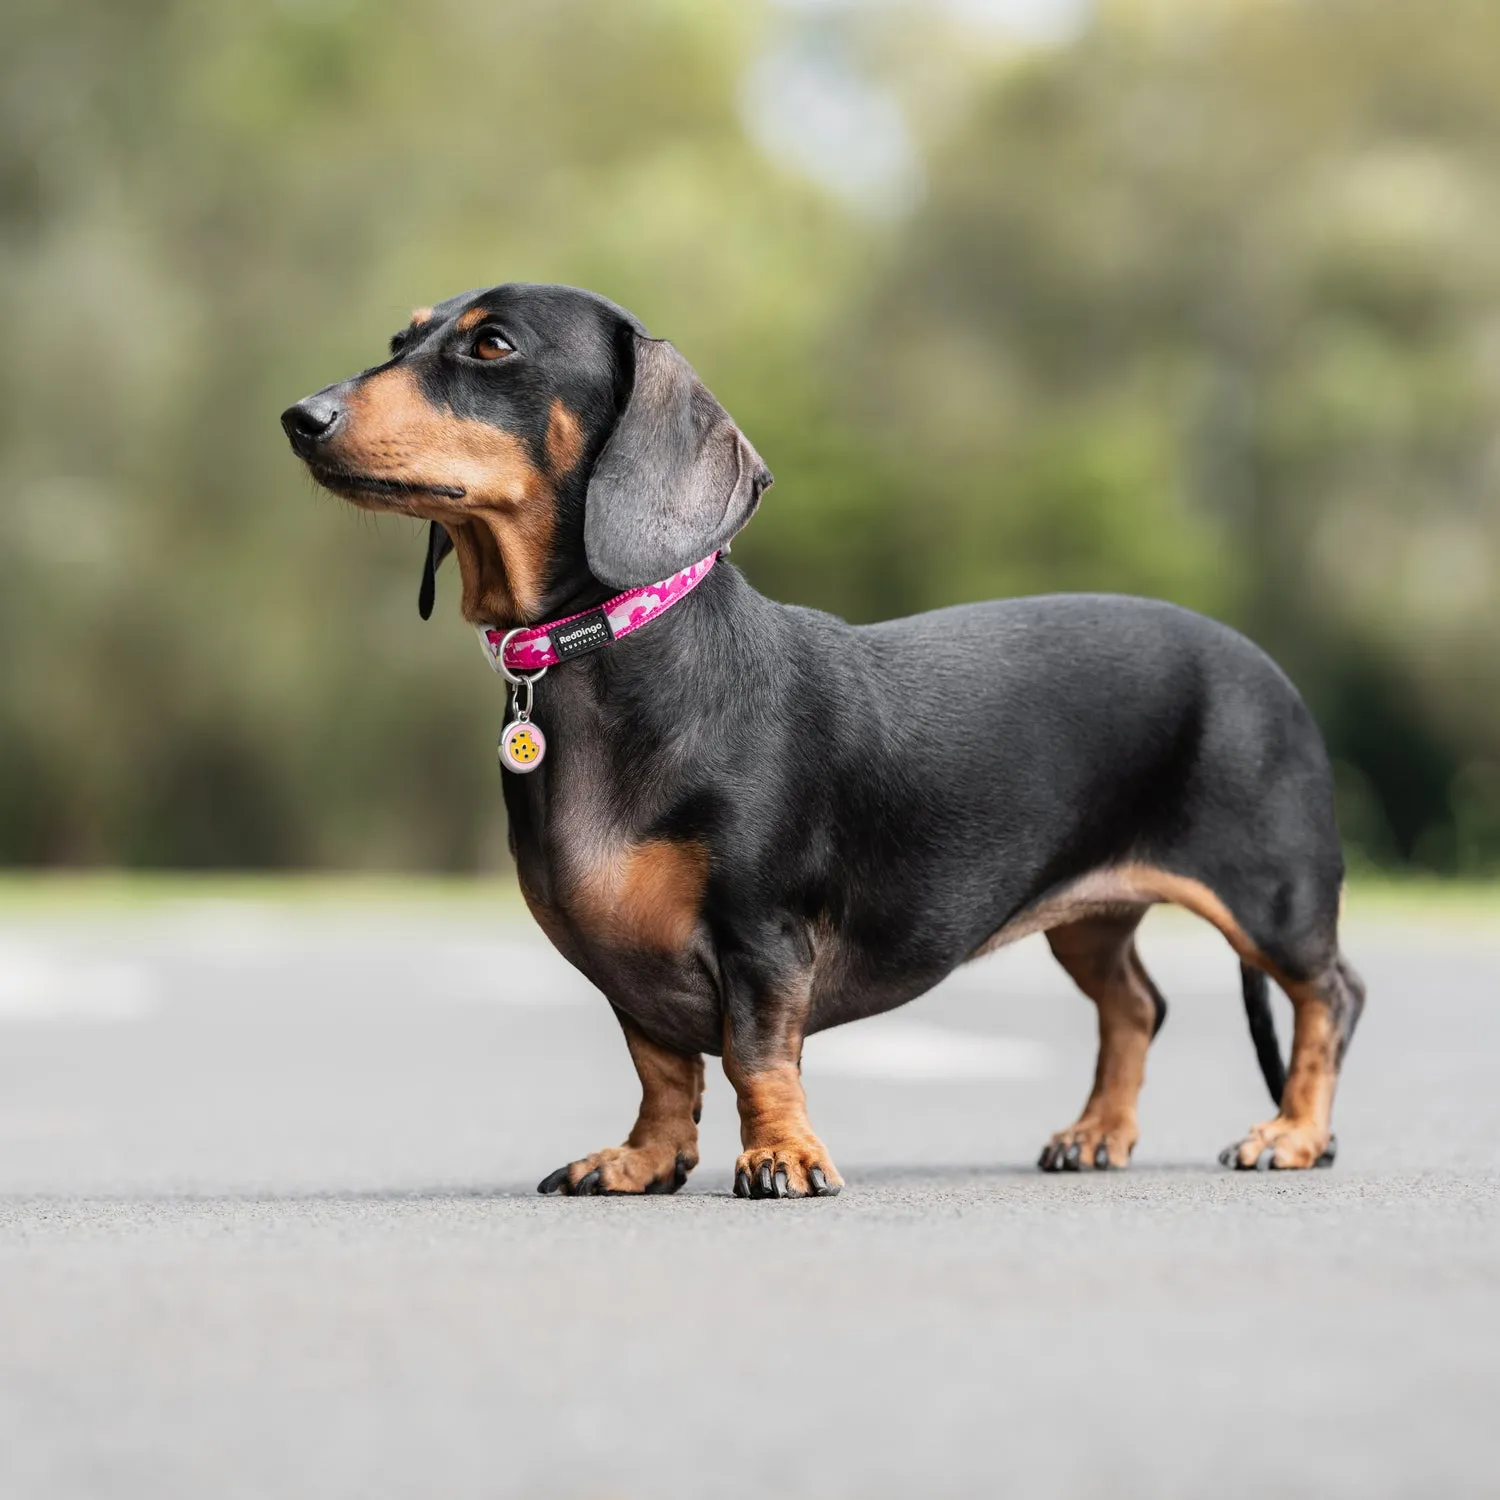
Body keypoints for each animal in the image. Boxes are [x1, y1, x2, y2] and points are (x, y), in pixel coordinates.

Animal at [279, 279, 1362, 1194]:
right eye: (400, 341)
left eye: (492, 345)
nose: (300, 419)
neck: (620, 649)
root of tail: (1258, 661)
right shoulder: (622, 951)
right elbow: (659, 1065)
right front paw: (644, 1160)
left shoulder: (764, 932)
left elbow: (757, 1054)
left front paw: (784, 1156)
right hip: (1090, 913)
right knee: (1136, 1004)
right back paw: (1099, 1133)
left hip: (1268, 894)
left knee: (1330, 995)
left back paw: (1293, 1134)